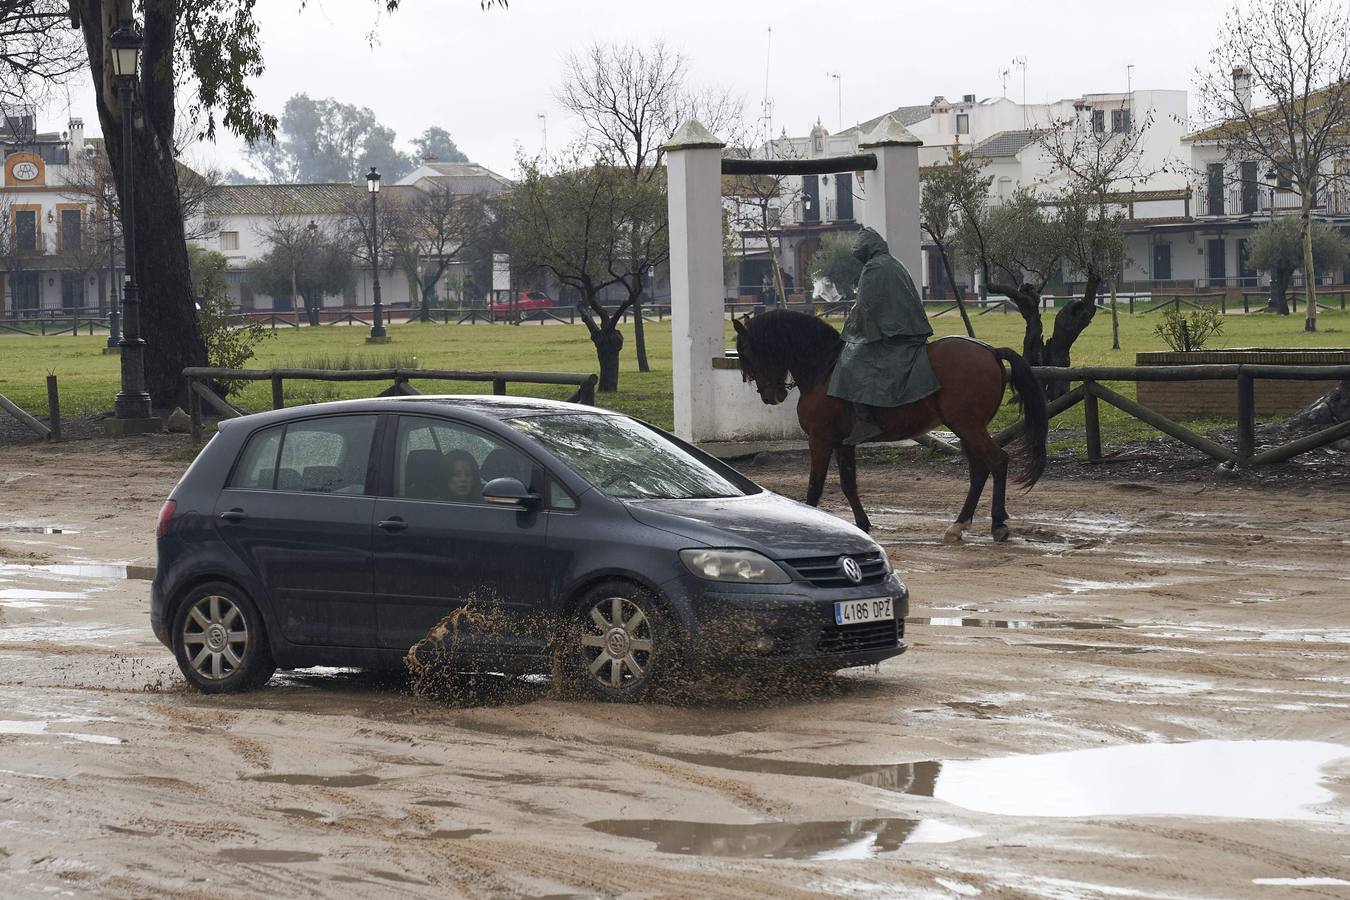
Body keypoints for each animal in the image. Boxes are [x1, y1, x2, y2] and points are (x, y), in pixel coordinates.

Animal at [734, 310, 1047, 542]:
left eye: (746, 353)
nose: (770, 395)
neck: (824, 368)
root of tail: (990, 351)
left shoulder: (820, 439)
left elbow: (814, 486)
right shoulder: (842, 443)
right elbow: (848, 484)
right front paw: (862, 523)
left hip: (968, 426)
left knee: (997, 461)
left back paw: (997, 524)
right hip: (968, 428)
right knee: (980, 470)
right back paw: (959, 524)